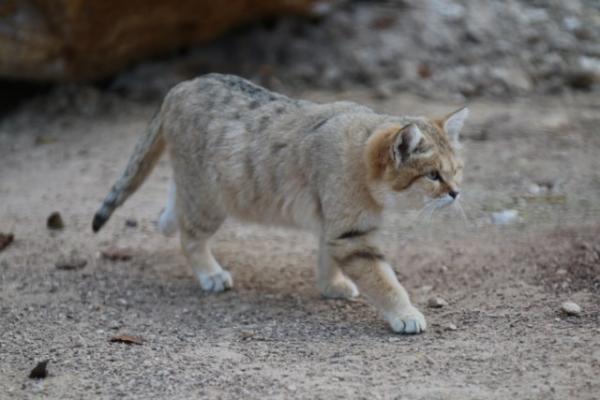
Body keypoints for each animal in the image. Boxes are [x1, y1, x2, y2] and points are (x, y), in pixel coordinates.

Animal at [94, 72, 468, 334]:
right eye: (433, 175)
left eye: (456, 171)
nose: (455, 192)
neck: (359, 156)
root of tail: (181, 86)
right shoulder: (350, 235)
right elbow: (383, 280)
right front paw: (405, 314)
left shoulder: (332, 226)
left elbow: (327, 259)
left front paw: (331, 286)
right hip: (210, 201)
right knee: (190, 236)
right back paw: (210, 273)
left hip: (196, 188)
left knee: (175, 202)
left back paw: (167, 220)